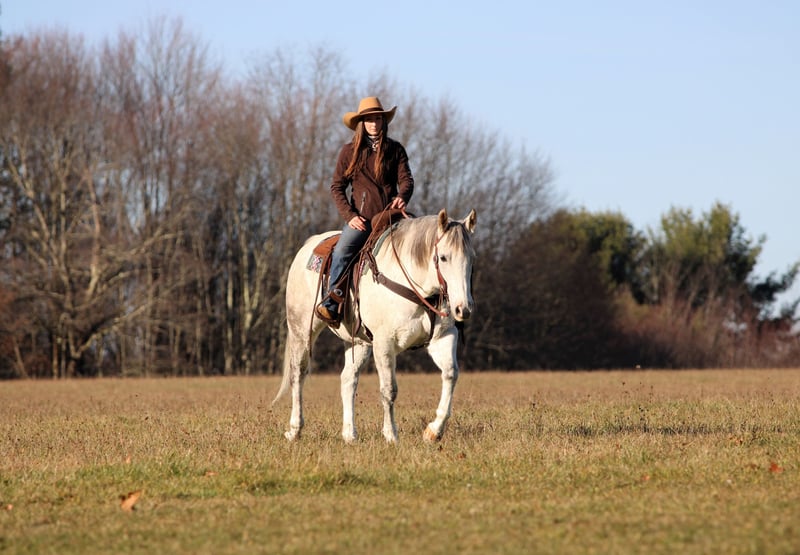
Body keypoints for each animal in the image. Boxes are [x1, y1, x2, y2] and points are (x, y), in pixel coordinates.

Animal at [273, 208, 477, 443]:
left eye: (472, 258)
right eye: (443, 257)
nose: (463, 309)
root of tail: (309, 244)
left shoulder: (443, 337)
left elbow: (451, 374)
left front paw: (433, 431)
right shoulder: (384, 343)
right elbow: (389, 389)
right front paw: (391, 435)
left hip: (358, 342)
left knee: (348, 379)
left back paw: (349, 434)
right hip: (301, 330)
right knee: (298, 374)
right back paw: (295, 429)